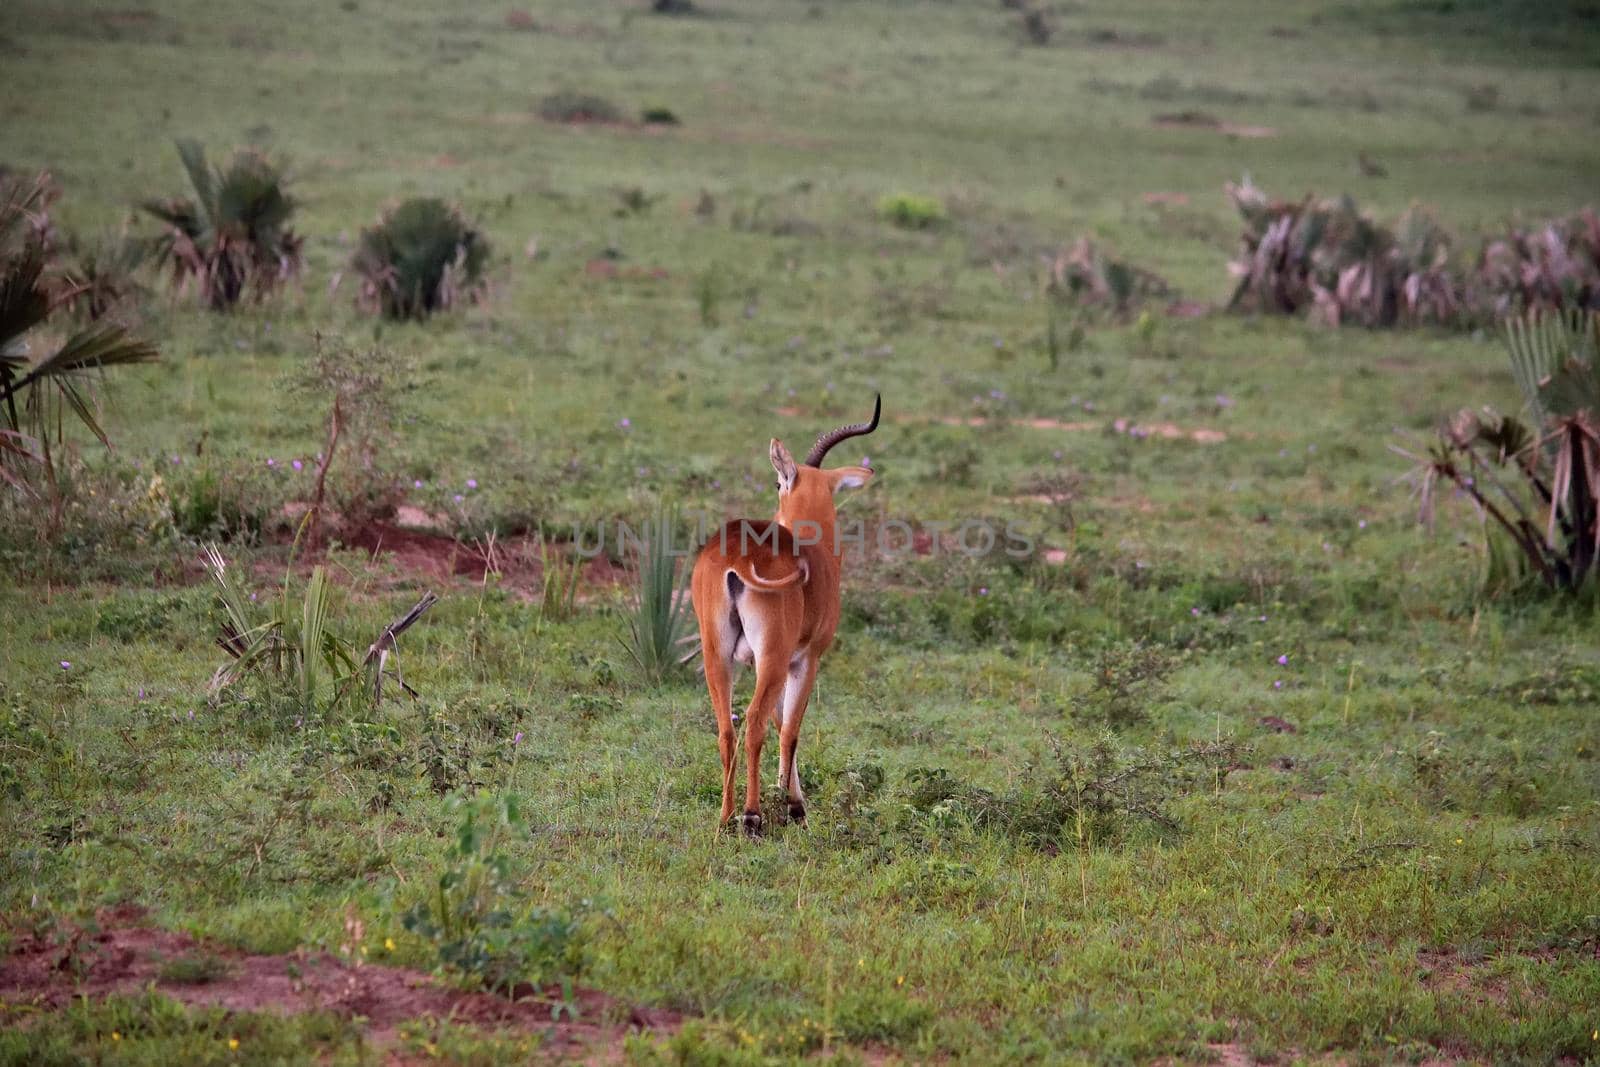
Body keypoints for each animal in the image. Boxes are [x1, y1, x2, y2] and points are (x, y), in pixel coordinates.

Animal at [691, 396, 883, 838]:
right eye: (778, 483)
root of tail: (737, 558)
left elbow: (782, 724)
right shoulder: (806, 660)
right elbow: (791, 728)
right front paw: (795, 807)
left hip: (717, 655)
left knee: (727, 728)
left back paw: (724, 818)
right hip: (772, 658)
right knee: (754, 723)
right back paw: (751, 817)